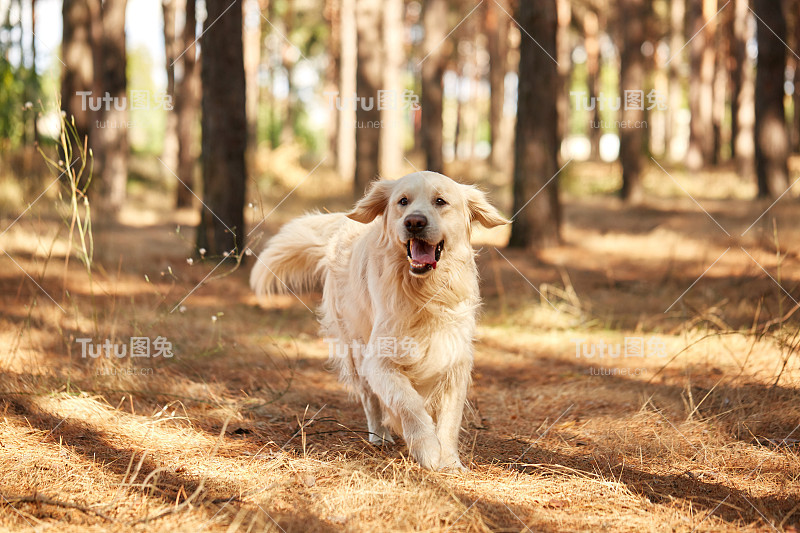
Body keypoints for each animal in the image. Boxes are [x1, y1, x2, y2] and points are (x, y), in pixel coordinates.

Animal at [250, 170, 506, 470]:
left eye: (440, 201)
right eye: (402, 201)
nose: (414, 222)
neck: (423, 293)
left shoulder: (454, 359)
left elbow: (449, 419)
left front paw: (450, 461)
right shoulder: (379, 360)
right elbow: (408, 402)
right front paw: (428, 449)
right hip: (354, 349)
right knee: (369, 398)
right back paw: (379, 436)